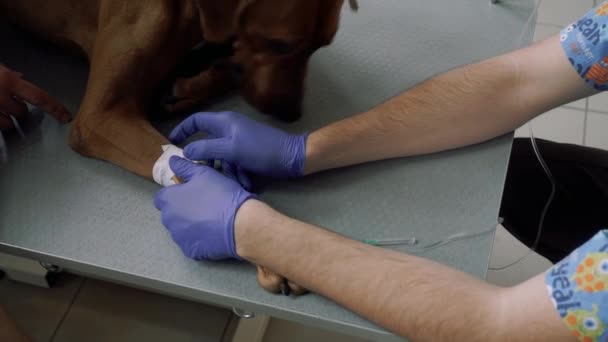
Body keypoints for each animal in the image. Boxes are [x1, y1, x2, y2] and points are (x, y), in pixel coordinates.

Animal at [0, 0, 354, 294]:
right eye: (280, 44)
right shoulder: (101, 115)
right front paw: (265, 240)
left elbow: (228, 68)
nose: (291, 115)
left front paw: (186, 88)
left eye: (321, 46)